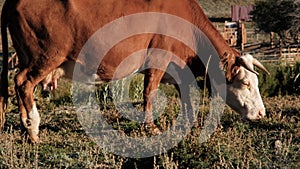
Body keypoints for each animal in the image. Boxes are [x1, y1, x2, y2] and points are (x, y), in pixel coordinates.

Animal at [0, 0, 270, 143]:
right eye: (246, 83)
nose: (261, 113)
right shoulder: (158, 59)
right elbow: (149, 94)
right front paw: (151, 128)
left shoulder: (179, 70)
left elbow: (187, 98)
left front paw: (187, 125)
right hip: (45, 57)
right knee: (23, 82)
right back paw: (33, 128)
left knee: (17, 85)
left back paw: (25, 126)